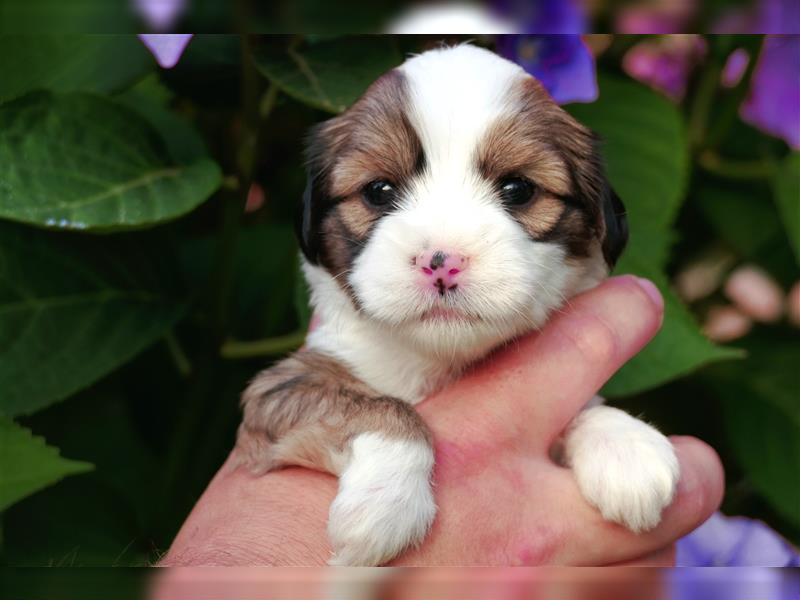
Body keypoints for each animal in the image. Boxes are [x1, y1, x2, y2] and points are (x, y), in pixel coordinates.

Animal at [234, 44, 680, 564]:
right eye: (378, 191)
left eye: (518, 189)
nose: (441, 262)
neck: (442, 363)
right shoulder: (277, 392)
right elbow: (381, 407)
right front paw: (386, 501)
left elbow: (586, 405)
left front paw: (623, 442)